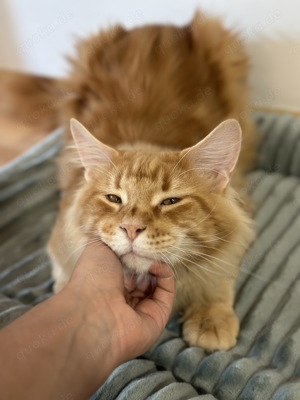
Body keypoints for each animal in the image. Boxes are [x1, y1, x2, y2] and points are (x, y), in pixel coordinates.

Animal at [1, 11, 256, 350]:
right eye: (114, 198)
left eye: (171, 201)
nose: (131, 228)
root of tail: (156, 24)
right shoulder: (59, 236)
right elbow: (63, 269)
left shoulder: (239, 228)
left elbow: (219, 277)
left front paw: (210, 319)